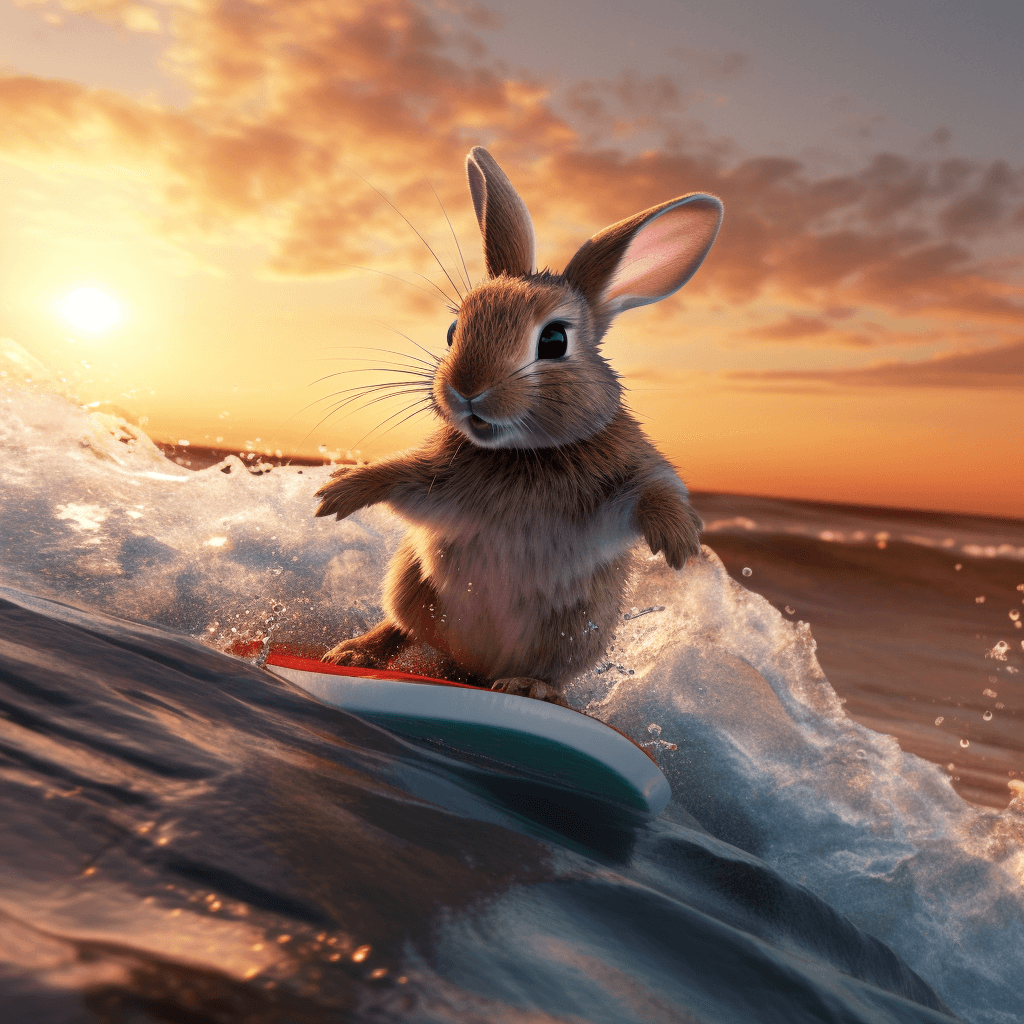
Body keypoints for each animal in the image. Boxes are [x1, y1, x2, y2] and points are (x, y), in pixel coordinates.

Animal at [314, 147, 723, 703]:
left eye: (553, 341)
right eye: (453, 330)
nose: (467, 390)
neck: (523, 452)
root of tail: (472, 667)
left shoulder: (625, 477)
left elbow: (655, 489)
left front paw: (679, 543)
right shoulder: (436, 483)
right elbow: (398, 477)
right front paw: (336, 493)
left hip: (573, 629)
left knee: (546, 670)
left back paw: (526, 686)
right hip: (410, 584)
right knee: (403, 627)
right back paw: (355, 653)